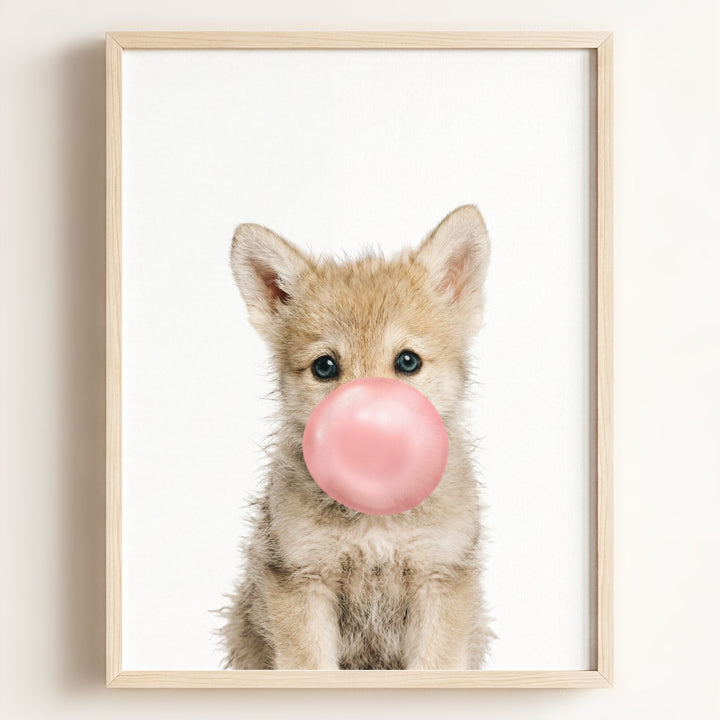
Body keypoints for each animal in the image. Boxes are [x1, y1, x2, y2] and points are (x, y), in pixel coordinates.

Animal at [221, 205, 493, 670]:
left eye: (407, 361)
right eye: (325, 367)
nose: (367, 432)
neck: (375, 519)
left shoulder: (439, 578)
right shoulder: (303, 579)